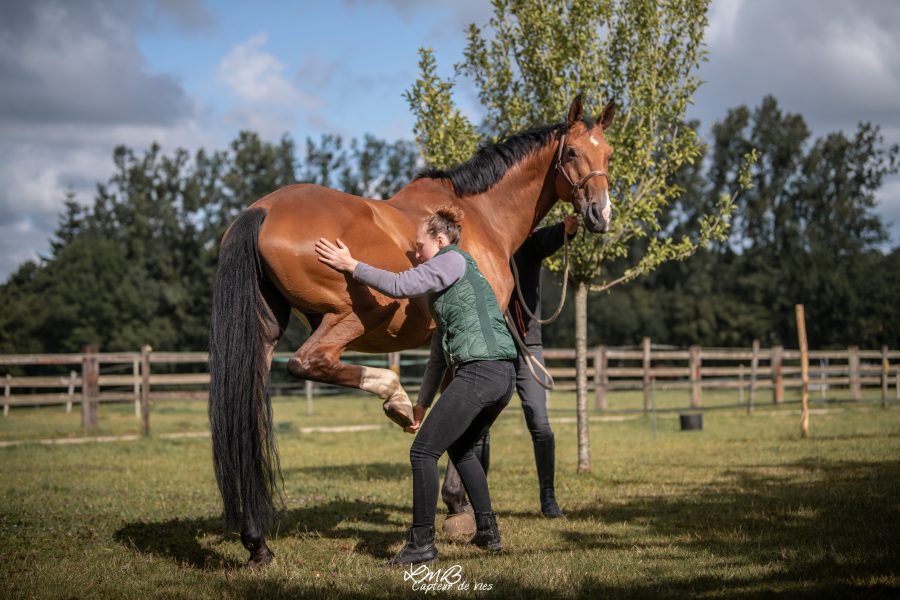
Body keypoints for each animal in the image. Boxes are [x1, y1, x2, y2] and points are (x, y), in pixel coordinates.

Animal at [209, 95, 620, 568]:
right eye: (570, 153)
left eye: (609, 154)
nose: (600, 214)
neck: (481, 215)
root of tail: (261, 211)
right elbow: (470, 429)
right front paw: (458, 506)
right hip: (353, 315)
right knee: (309, 361)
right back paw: (394, 396)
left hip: (262, 339)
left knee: (250, 424)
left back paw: (257, 542)